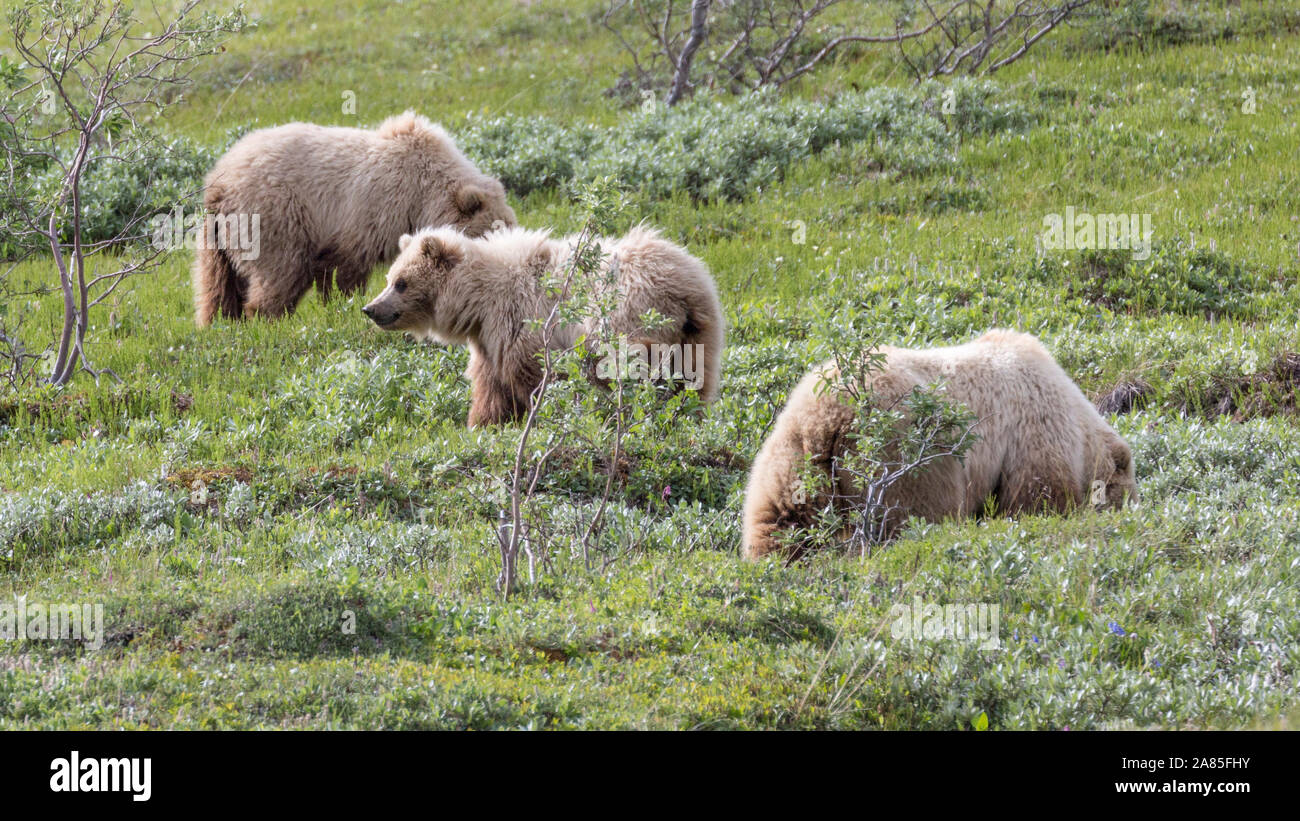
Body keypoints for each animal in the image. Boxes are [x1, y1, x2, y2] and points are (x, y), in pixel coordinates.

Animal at [192, 111, 516, 326]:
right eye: (488, 235)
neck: (422, 196)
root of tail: (219, 181)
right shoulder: (367, 213)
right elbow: (347, 269)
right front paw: (348, 303)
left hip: (217, 234)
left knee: (218, 283)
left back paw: (222, 321)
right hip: (275, 217)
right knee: (281, 271)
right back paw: (267, 318)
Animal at [361, 224, 724, 426]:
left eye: (402, 283)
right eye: (390, 278)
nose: (371, 309)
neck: (478, 300)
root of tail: (686, 291)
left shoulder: (522, 321)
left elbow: (535, 378)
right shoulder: (490, 338)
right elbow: (492, 386)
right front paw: (485, 424)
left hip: (630, 320)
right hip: (698, 338)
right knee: (692, 382)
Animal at [741, 329, 1137, 561]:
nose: (1132, 511)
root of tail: (828, 418)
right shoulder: (1033, 431)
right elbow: (1036, 497)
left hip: (793, 456)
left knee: (778, 519)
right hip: (904, 459)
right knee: (909, 514)